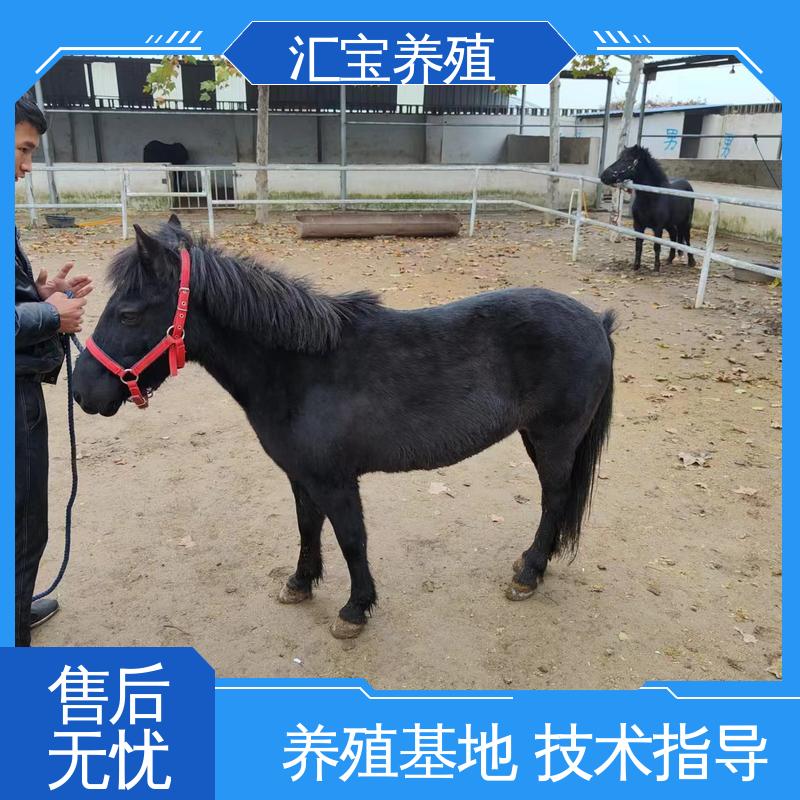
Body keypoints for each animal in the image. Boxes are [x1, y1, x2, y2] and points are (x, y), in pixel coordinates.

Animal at [71, 215, 616, 639]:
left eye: (128, 313)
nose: (81, 391)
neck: (301, 368)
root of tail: (597, 321)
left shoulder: (335, 480)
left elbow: (352, 539)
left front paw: (355, 609)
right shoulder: (301, 475)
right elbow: (307, 527)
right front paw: (300, 583)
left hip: (554, 439)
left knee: (554, 499)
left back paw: (530, 572)